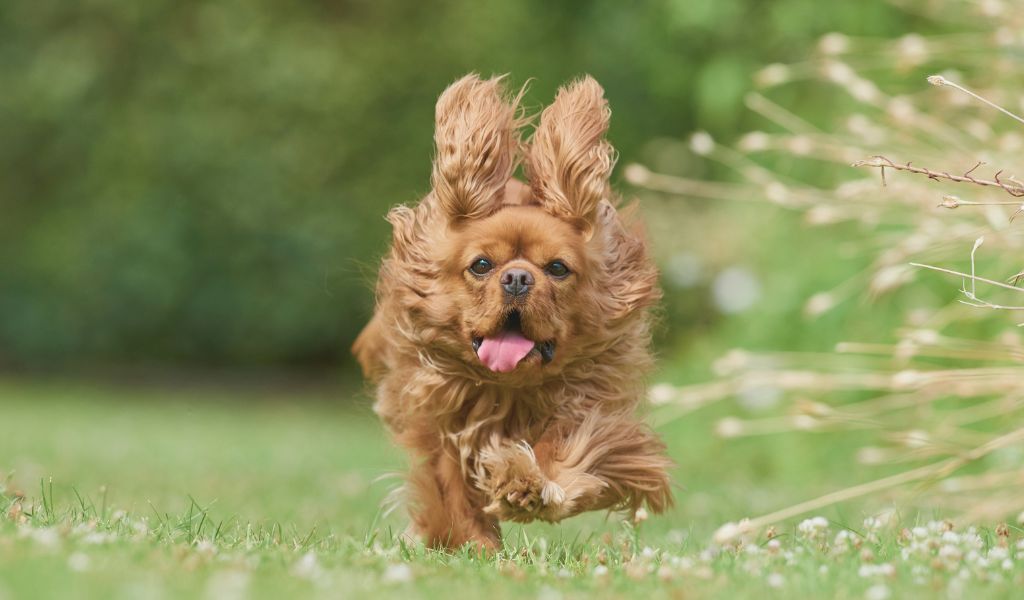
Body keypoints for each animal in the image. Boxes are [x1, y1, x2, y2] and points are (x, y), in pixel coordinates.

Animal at [352, 72, 671, 548]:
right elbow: (451, 491)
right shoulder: (440, 428)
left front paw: (527, 485)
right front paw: (477, 546)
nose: (518, 278)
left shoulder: (588, 415)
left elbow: (570, 458)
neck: (511, 388)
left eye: (557, 268)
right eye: (482, 265)